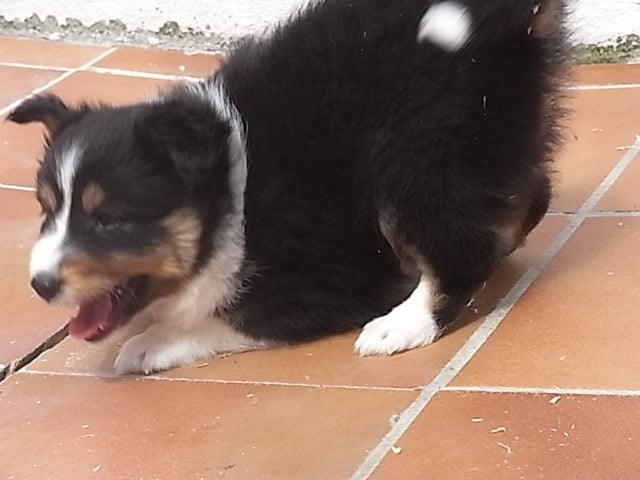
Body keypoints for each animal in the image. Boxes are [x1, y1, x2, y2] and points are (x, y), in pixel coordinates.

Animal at [8, 0, 569, 374]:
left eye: (109, 220)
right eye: (48, 212)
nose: (40, 285)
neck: (233, 191)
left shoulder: (327, 279)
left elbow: (235, 318)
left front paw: (149, 343)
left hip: (417, 156)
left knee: (457, 251)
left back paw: (403, 324)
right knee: (527, 194)